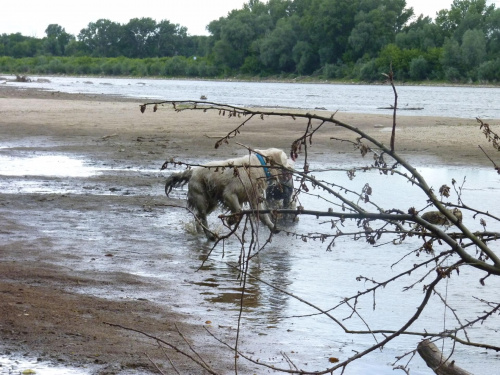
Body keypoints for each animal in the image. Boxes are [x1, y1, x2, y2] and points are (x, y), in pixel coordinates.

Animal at [160, 148, 292, 239]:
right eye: (286, 160)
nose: (292, 169)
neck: (258, 165)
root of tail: (193, 171)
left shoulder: (254, 198)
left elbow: (263, 215)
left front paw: (272, 227)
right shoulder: (229, 194)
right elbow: (238, 210)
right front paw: (231, 220)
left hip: (211, 202)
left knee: (198, 216)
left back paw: (200, 232)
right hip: (201, 197)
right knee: (202, 216)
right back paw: (209, 236)